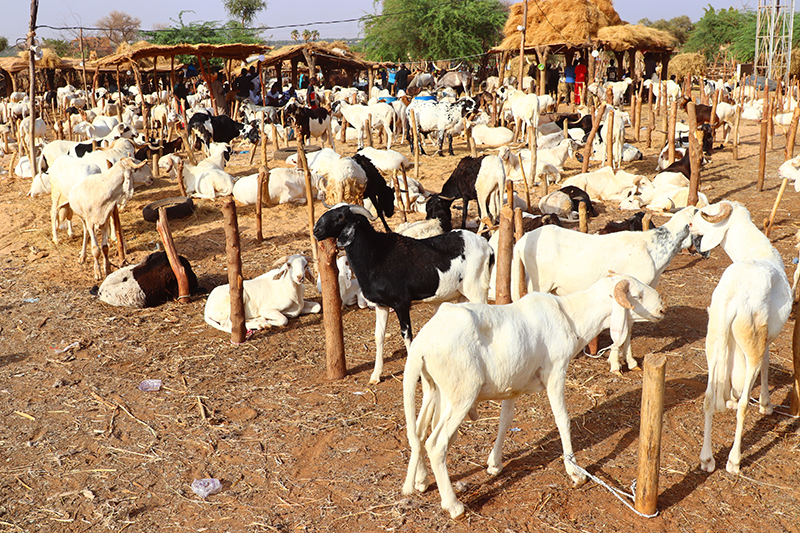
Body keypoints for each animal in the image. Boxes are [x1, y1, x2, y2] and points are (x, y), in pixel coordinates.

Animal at [312, 204, 493, 384]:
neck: (377, 254)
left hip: (477, 288)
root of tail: (487, 247)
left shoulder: (401, 303)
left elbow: (406, 335)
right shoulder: (381, 305)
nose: (316, 230)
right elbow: (379, 336)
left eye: (341, 216)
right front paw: (375, 376)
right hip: (464, 294)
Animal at [402, 274, 665, 518]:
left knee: (418, 432)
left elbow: (505, 421)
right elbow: (562, 419)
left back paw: (421, 480)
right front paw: (574, 471)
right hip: (461, 394)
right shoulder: (556, 372)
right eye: (638, 296)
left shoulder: (512, 384)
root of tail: (421, 344)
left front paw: (495, 464)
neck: (572, 317)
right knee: (436, 444)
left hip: (433, 389)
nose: (662, 309)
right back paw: (453, 505)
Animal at [511, 206, 700, 372]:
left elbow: (629, 329)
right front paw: (616, 365)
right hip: (539, 283)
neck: (653, 249)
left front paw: (630, 362)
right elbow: (623, 327)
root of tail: (521, 242)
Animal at [689, 201, 793, 474]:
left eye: (709, 210)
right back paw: (733, 461)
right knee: (746, 401)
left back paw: (707, 460)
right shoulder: (765, 339)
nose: (690, 223)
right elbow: (766, 364)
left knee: (708, 397)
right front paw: (766, 405)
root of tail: (733, 300)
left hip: (713, 339)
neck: (756, 250)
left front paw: (731, 400)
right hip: (751, 342)